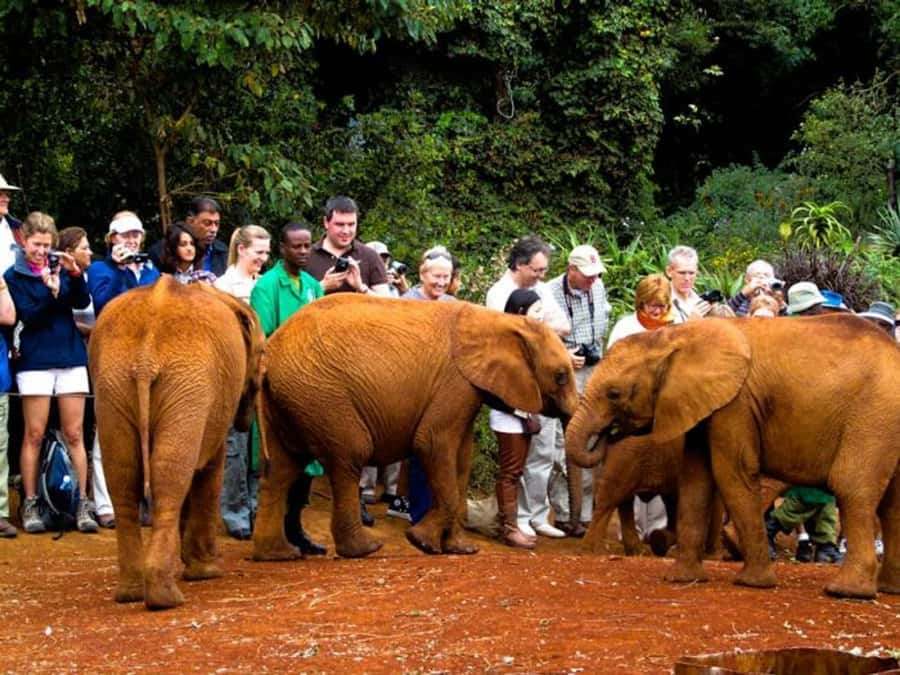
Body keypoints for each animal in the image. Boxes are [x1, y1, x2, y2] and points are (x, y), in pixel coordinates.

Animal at [89, 277, 265, 610]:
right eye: (262, 356)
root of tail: (145, 358)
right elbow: (210, 469)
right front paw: (206, 572)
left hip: (113, 385)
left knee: (125, 478)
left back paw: (132, 593)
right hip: (187, 383)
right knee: (170, 478)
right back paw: (166, 598)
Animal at [252, 294, 579, 560]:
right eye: (561, 376)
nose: (572, 529)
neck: (501, 320)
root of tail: (270, 352)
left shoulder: (467, 390)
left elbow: (462, 458)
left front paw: (461, 549)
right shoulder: (455, 382)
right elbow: (432, 443)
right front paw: (421, 542)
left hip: (292, 398)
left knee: (281, 469)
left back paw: (277, 554)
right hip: (321, 396)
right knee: (350, 456)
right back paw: (364, 549)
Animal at [566, 314, 900, 599]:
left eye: (614, 394)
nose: (608, 434)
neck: (674, 337)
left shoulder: (735, 404)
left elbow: (731, 473)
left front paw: (753, 583)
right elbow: (696, 480)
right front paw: (682, 579)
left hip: (873, 416)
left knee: (852, 488)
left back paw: (847, 592)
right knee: (890, 503)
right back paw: (886, 589)